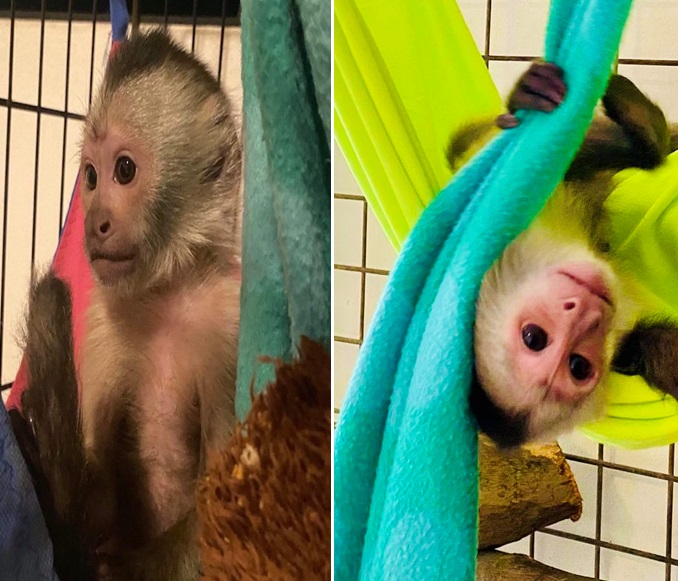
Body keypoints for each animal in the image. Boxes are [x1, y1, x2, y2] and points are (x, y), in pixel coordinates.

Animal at [9, 28, 242, 580]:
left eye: (126, 170)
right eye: (91, 178)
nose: (94, 222)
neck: (166, 294)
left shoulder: (229, 323)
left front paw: (99, 567)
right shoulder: (100, 316)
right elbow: (97, 493)